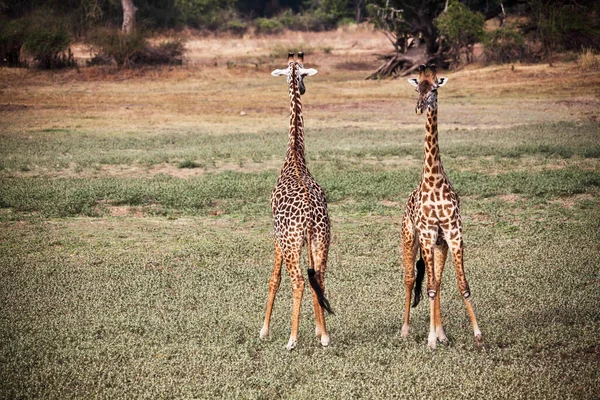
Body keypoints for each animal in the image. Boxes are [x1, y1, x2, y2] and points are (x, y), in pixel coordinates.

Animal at [400, 64, 486, 348]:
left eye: (435, 88)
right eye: (418, 87)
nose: (419, 107)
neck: (434, 180)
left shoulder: (453, 234)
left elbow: (462, 285)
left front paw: (477, 334)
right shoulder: (427, 234)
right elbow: (427, 287)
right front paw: (430, 341)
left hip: (440, 246)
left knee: (437, 280)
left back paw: (442, 333)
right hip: (410, 238)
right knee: (410, 279)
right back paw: (405, 330)